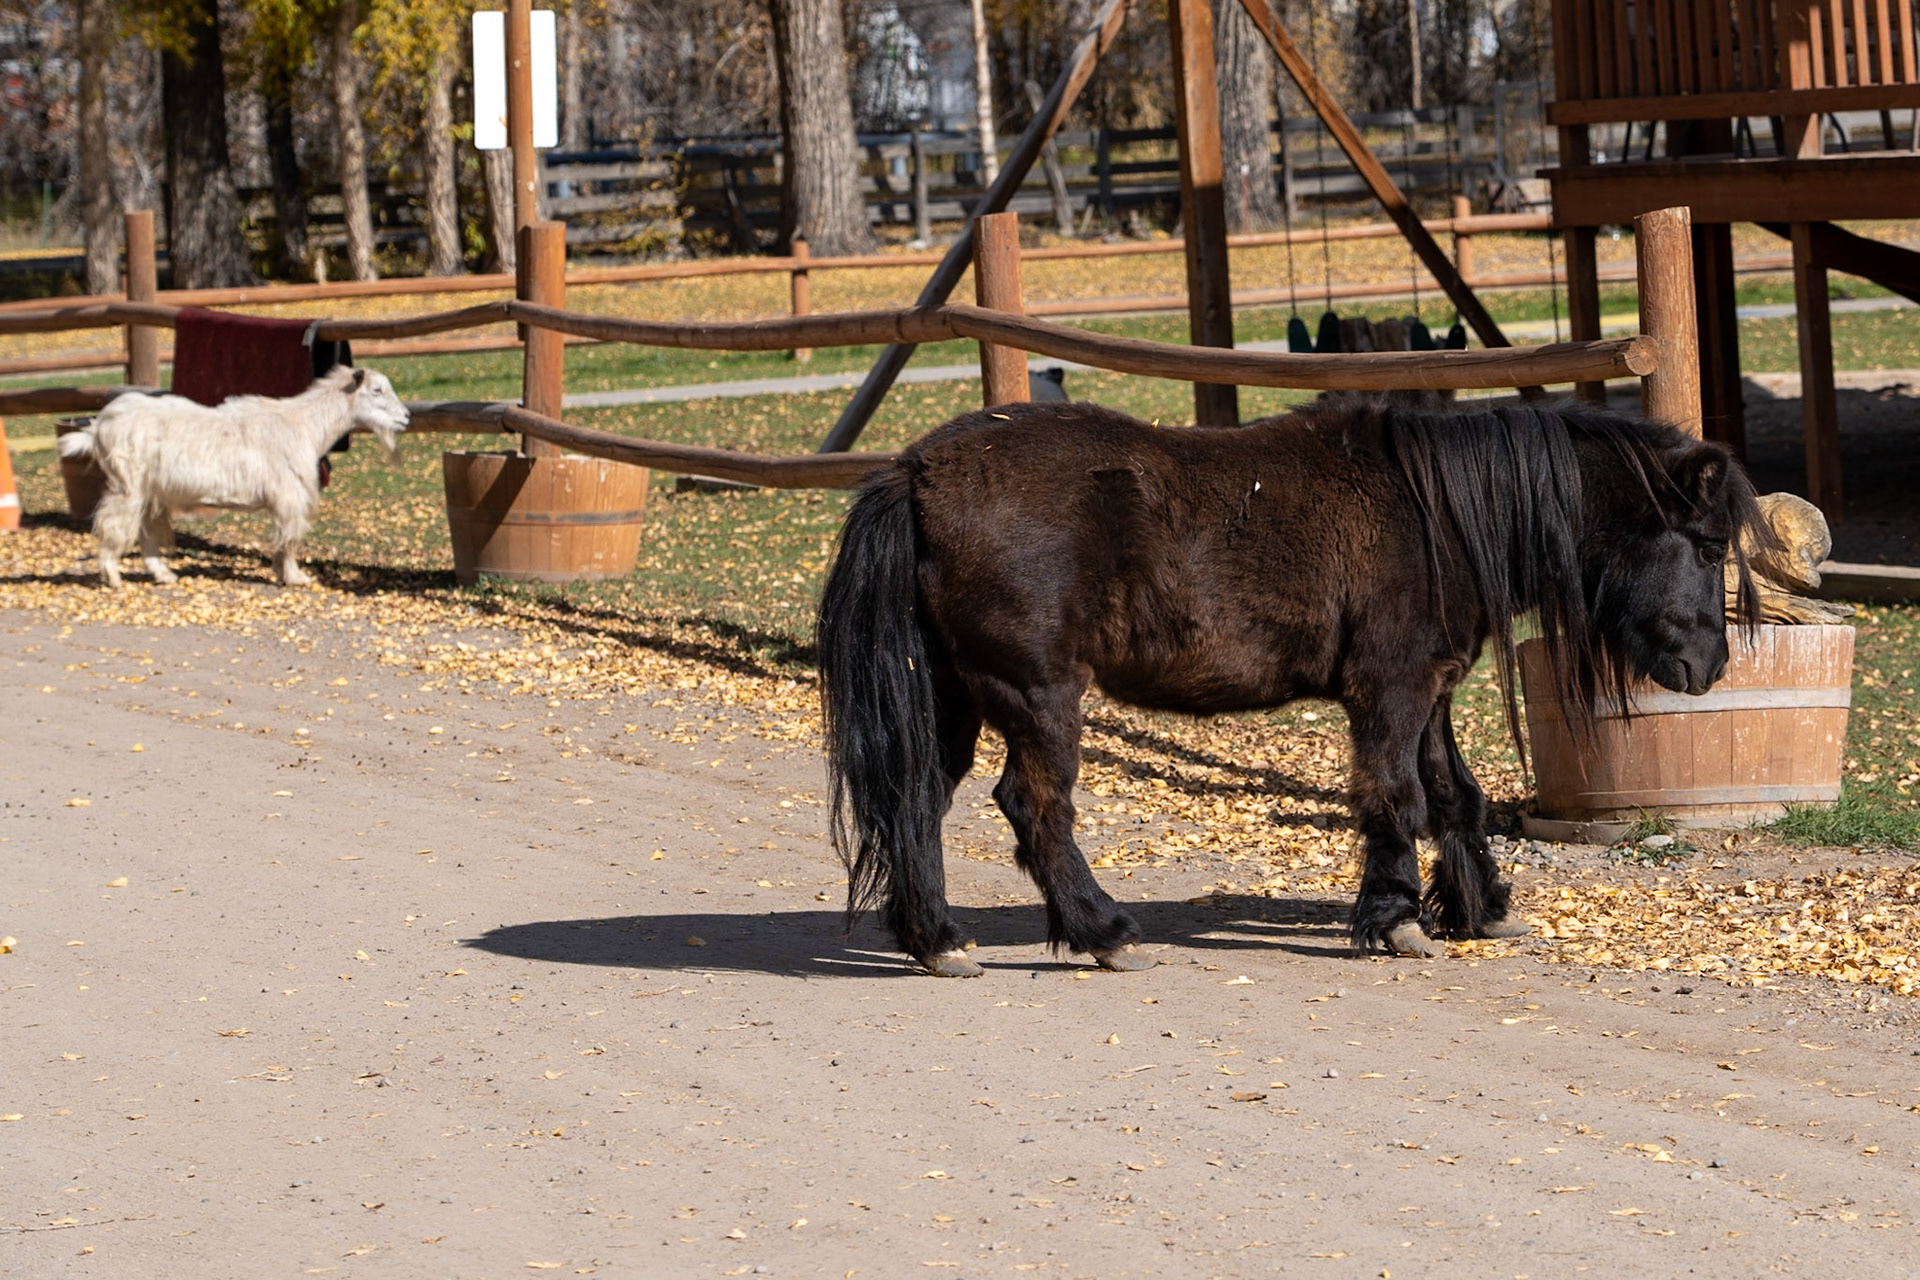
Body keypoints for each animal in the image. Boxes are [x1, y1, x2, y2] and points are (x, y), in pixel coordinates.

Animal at [817, 398, 1765, 977]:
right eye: (1710, 545)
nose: (1709, 667)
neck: (1437, 513)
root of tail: (917, 473)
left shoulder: (1431, 690)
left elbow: (1454, 796)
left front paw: (1480, 908)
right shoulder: (1391, 690)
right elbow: (1395, 800)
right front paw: (1396, 919)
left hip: (955, 694)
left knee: (916, 801)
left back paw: (938, 940)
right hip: (1034, 695)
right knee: (1034, 808)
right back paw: (1105, 932)